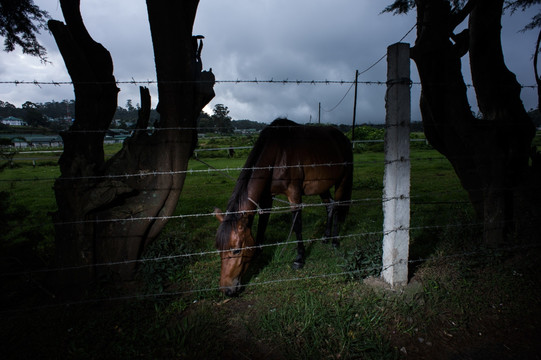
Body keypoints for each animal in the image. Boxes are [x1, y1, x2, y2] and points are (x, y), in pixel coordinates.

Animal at [213, 118, 352, 296]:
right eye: (218, 249)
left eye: (236, 250)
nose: (227, 290)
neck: (278, 153)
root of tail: (343, 138)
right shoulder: (266, 197)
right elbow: (262, 223)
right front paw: (258, 253)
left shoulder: (294, 194)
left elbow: (297, 225)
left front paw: (300, 259)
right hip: (322, 185)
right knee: (330, 206)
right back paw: (326, 237)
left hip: (342, 181)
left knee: (338, 207)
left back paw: (334, 241)